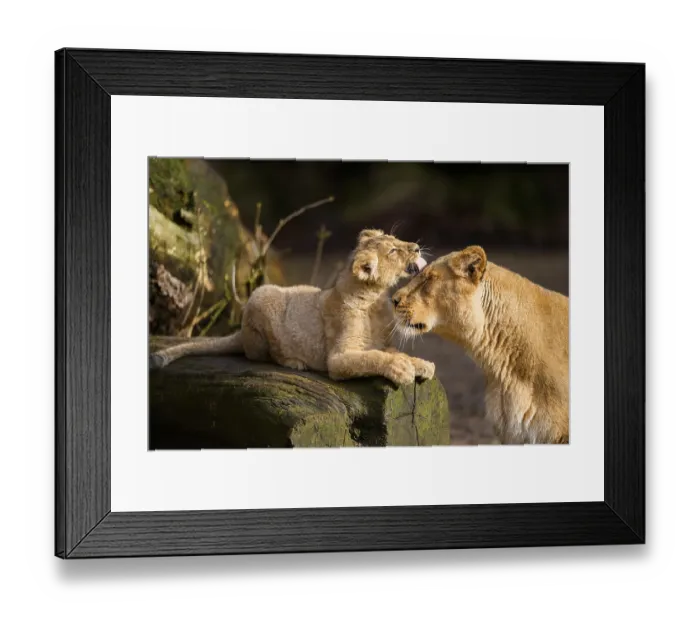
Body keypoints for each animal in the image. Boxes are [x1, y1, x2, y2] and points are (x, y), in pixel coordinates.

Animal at [149, 229, 435, 386]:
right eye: (393, 251)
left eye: (396, 239)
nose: (416, 247)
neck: (374, 300)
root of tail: (241, 332)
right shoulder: (338, 359)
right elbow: (372, 358)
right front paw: (401, 369)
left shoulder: (383, 342)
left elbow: (393, 352)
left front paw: (420, 364)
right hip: (261, 296)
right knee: (262, 354)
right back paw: (295, 362)